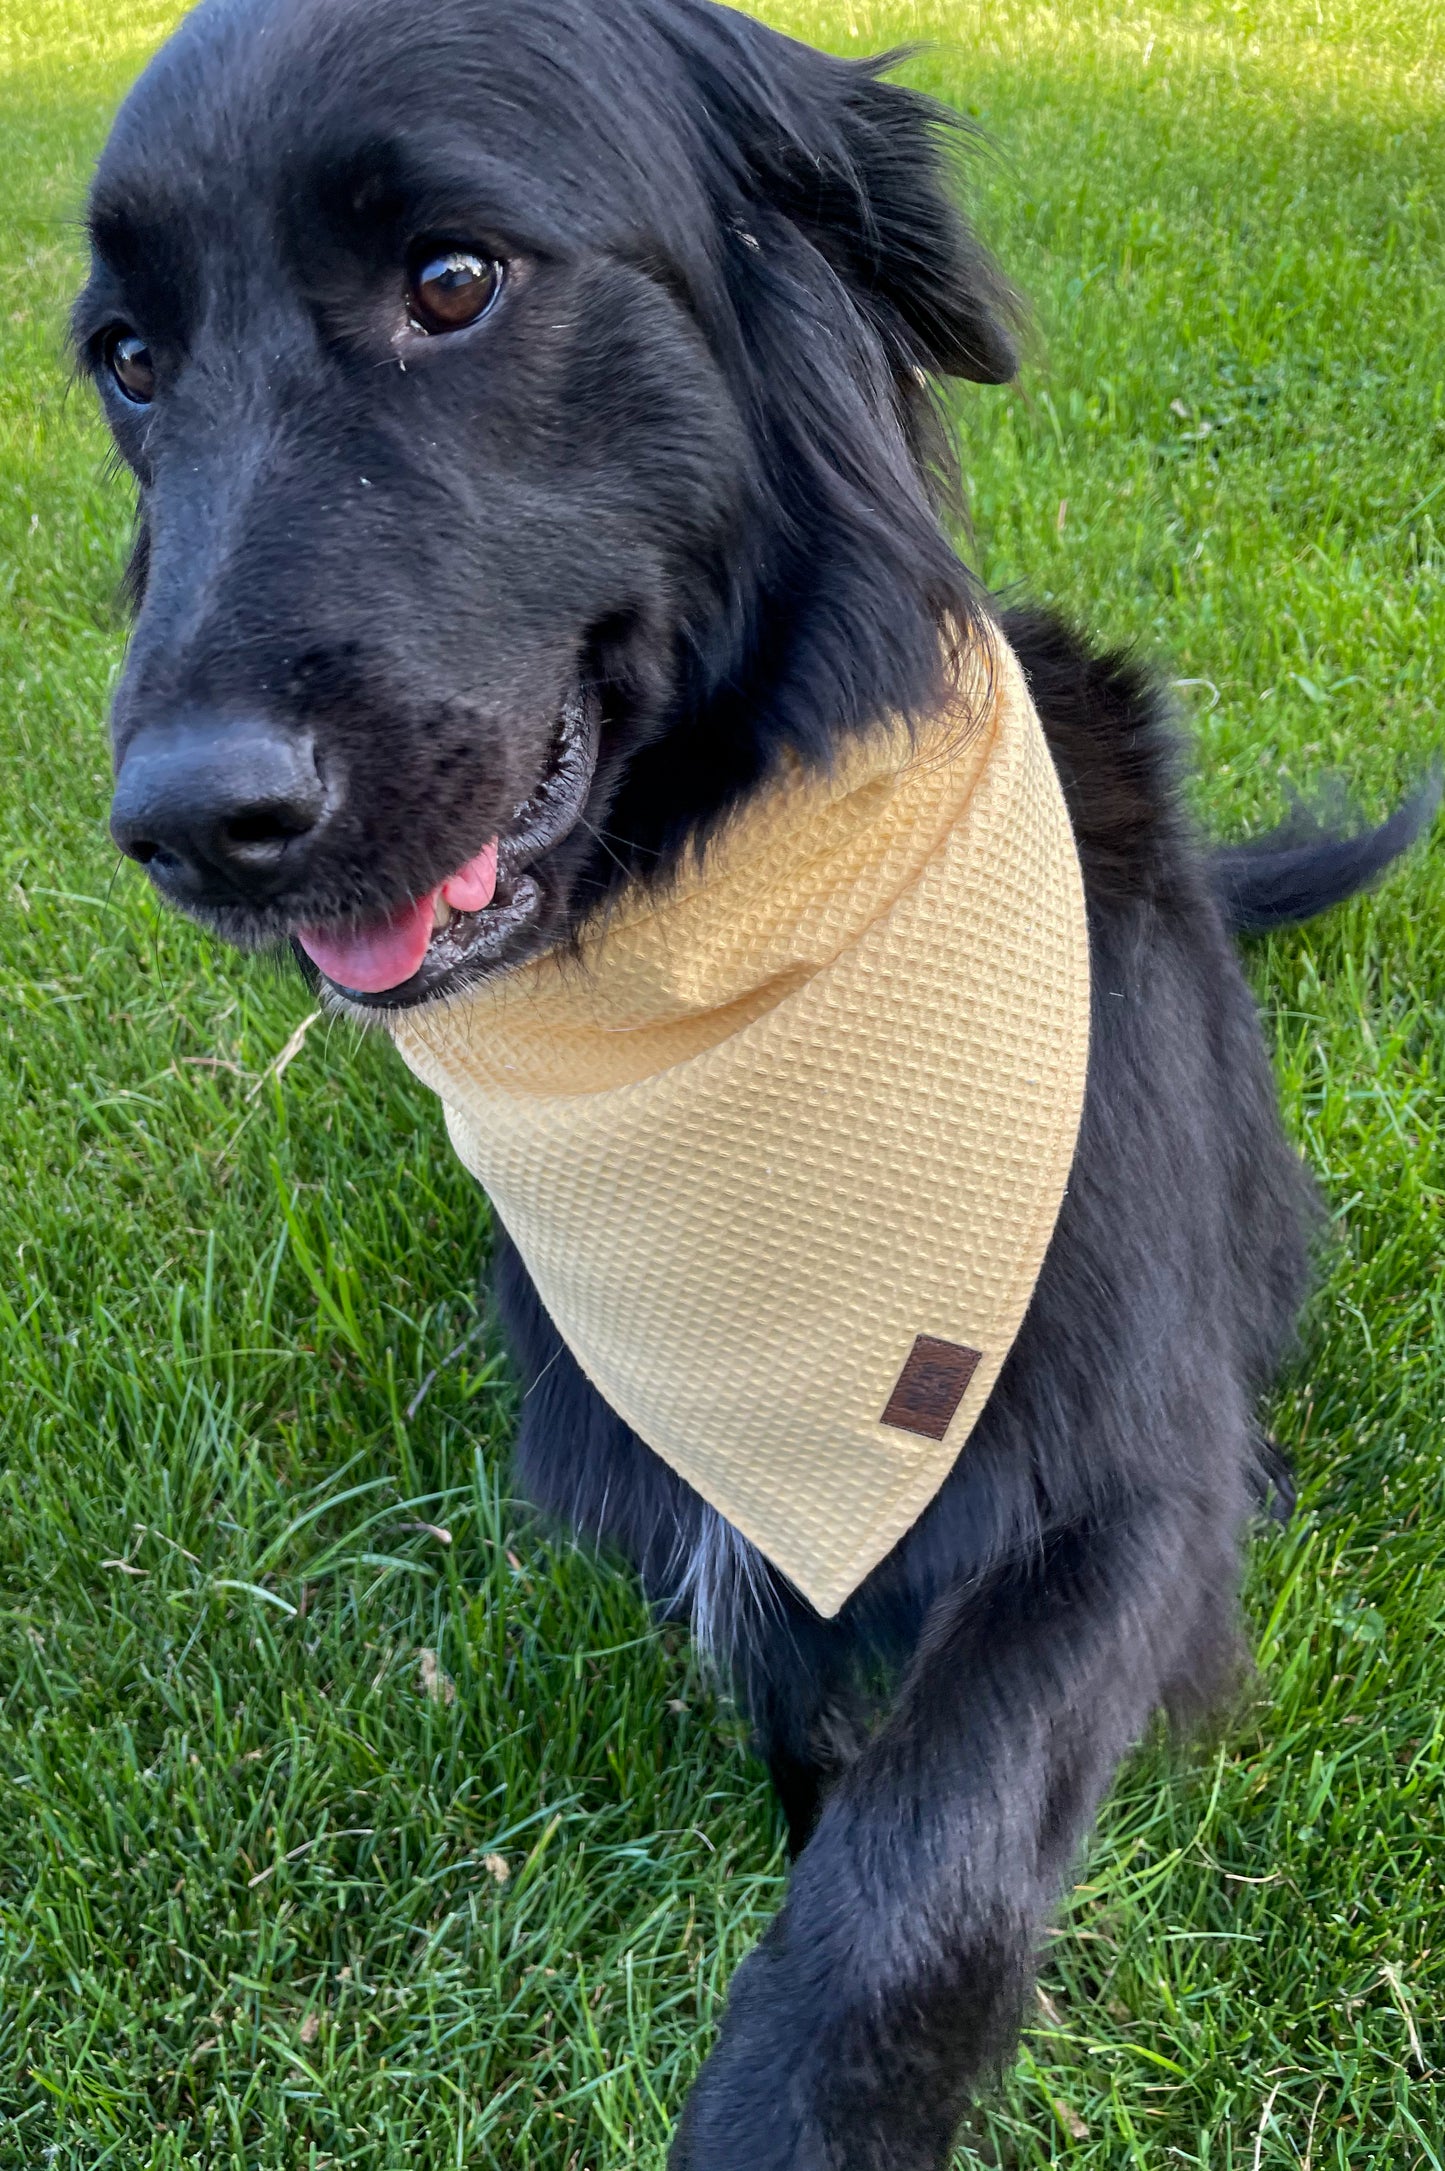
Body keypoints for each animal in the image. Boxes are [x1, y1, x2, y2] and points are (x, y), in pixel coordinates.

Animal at [70, 8, 1431, 2162]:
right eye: (132, 361)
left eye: (451, 279)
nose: (190, 824)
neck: (728, 994)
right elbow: (810, 1710)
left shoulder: (1122, 1485)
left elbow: (930, 1825)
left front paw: (797, 2104)